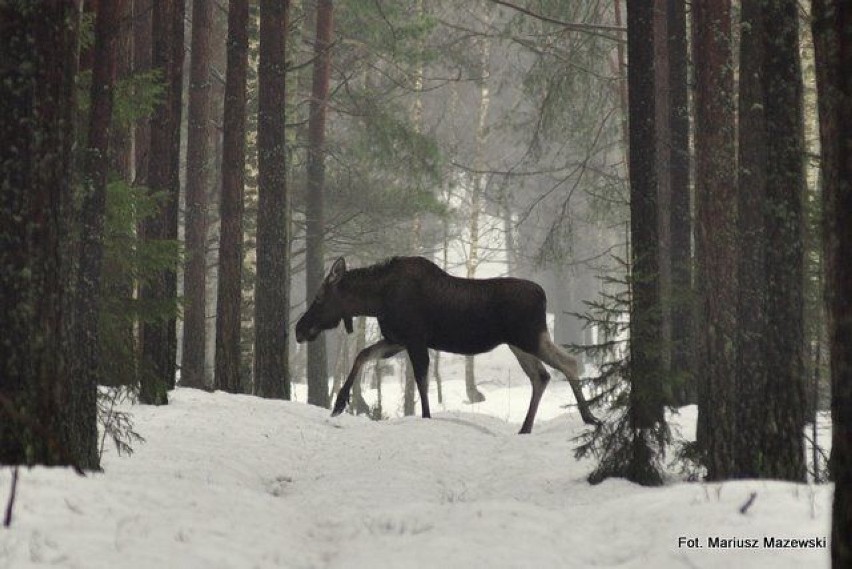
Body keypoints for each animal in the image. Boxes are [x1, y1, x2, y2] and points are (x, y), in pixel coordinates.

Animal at [292, 255, 600, 432]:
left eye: (319, 298)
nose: (299, 329)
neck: (375, 301)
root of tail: (543, 295)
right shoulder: (397, 340)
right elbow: (363, 355)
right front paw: (339, 403)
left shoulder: (414, 340)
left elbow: (421, 381)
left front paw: (427, 418)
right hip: (519, 344)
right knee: (542, 376)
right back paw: (527, 427)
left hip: (529, 338)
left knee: (569, 363)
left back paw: (588, 417)